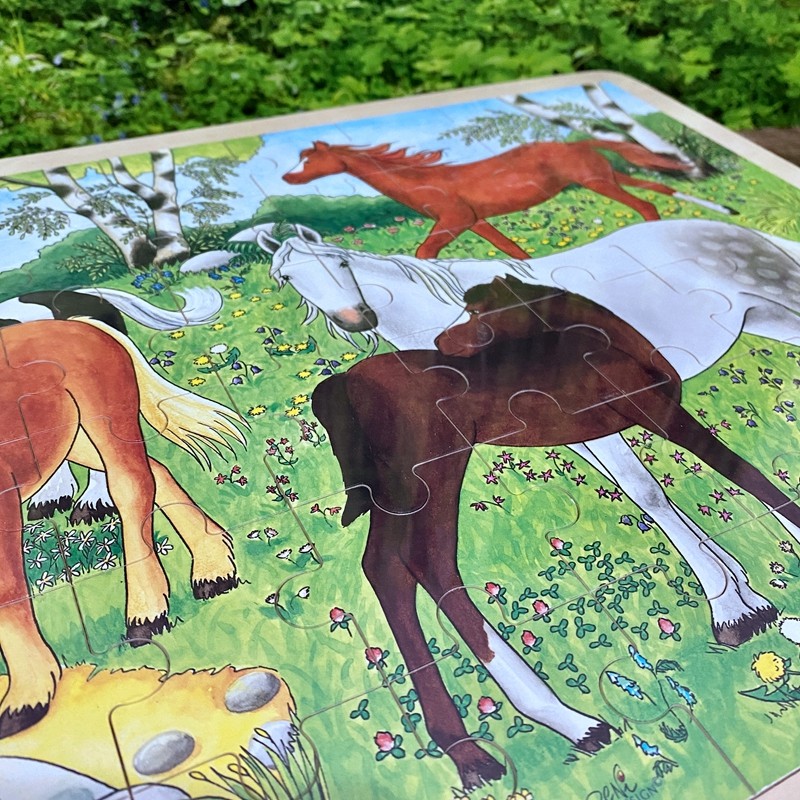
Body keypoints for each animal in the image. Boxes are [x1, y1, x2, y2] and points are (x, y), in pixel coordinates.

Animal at [0, 318, 243, 740]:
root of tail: (77, 324)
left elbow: (8, 591)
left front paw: (26, 701)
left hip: (108, 419)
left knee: (134, 485)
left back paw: (147, 616)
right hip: (74, 438)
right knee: (158, 471)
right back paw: (215, 569)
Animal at [237, 218, 800, 647]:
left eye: (340, 264)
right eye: (289, 277)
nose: (358, 318)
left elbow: (650, 494)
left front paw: (733, 609)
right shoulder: (578, 427)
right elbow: (652, 497)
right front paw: (743, 598)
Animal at [281, 141, 736, 259]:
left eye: (310, 159)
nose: (287, 176)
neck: (424, 182)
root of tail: (580, 142)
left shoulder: (454, 220)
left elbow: (425, 254)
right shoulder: (476, 221)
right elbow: (515, 252)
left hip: (597, 182)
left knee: (645, 206)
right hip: (605, 175)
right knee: (658, 191)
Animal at [311, 276, 800, 790]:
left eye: (477, 312)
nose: (443, 342)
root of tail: (342, 382)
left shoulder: (608, 429)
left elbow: (655, 498)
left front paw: (742, 607)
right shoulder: (660, 416)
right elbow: (748, 477)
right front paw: (742, 606)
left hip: (399, 487)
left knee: (385, 567)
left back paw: (470, 753)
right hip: (429, 471)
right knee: (427, 561)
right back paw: (570, 724)